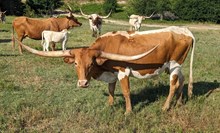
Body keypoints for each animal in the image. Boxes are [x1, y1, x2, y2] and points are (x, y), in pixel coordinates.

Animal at [16, 26, 195, 114]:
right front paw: (110, 105)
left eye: (91, 63)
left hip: (174, 64)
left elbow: (126, 92)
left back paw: (165, 107)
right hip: (176, 66)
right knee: (182, 80)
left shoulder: (123, 72)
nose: (82, 83)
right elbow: (111, 90)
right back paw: (179, 102)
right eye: (76, 64)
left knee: (173, 85)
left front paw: (128, 112)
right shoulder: (112, 75)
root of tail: (186, 31)